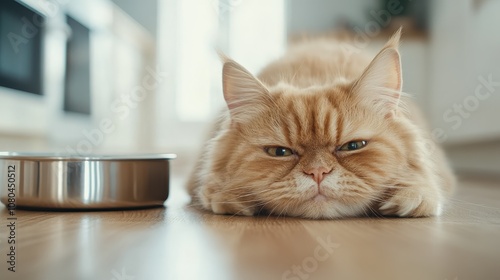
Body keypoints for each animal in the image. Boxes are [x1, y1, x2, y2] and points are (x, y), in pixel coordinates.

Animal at [188, 29, 458, 219]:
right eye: (279, 152)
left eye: (353, 146)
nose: (317, 172)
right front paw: (228, 195)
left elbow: (423, 185)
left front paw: (410, 196)